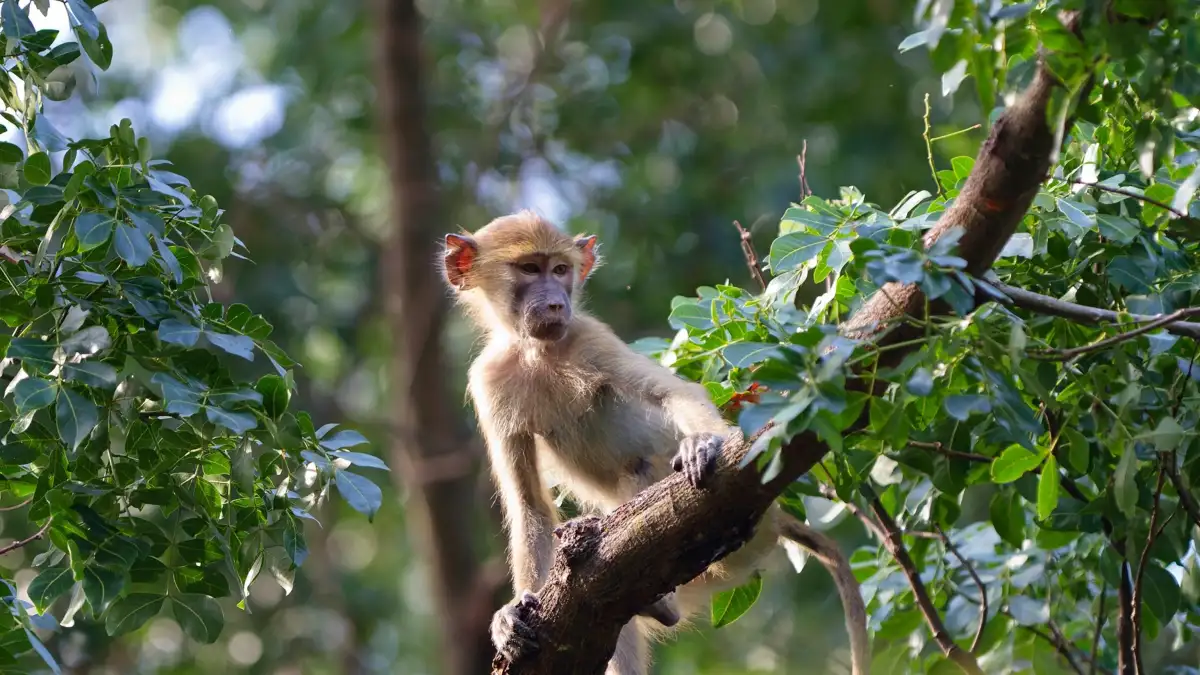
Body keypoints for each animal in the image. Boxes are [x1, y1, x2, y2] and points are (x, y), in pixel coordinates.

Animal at [440, 210, 870, 675]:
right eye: (530, 268)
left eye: (560, 270)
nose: (555, 303)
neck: (537, 351)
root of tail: (775, 518)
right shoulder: (490, 381)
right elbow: (529, 503)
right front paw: (511, 616)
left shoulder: (590, 337)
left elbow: (674, 393)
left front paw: (704, 444)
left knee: (640, 475)